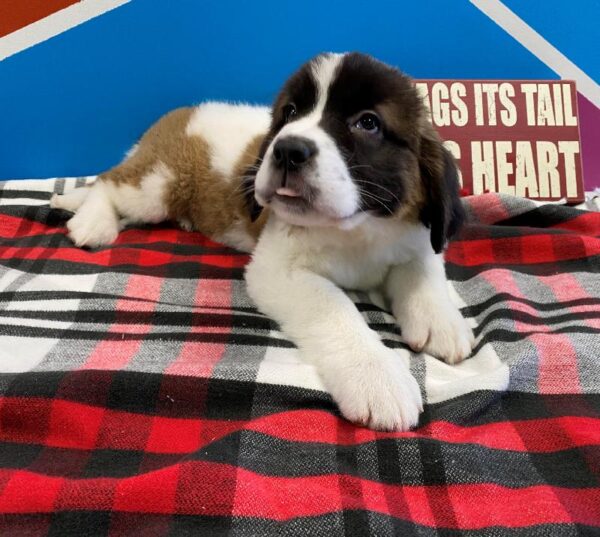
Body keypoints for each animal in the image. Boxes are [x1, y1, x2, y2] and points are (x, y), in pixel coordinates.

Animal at [51, 52, 474, 430]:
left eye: (367, 123)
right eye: (289, 113)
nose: (287, 149)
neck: (355, 229)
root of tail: (179, 114)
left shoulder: (414, 236)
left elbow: (423, 270)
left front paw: (441, 321)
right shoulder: (277, 270)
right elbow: (334, 307)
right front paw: (377, 376)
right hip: (156, 186)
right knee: (108, 181)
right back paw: (92, 220)